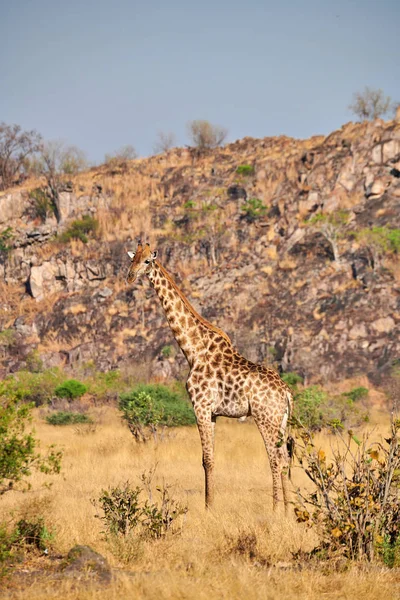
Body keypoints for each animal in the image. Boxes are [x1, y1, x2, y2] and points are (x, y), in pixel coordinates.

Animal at [126, 241, 294, 508]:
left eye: (147, 261)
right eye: (132, 260)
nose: (130, 277)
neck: (193, 350)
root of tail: (286, 392)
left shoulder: (201, 406)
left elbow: (206, 460)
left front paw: (208, 508)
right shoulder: (213, 413)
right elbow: (211, 458)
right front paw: (210, 504)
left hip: (265, 417)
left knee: (275, 458)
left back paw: (277, 509)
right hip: (281, 420)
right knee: (285, 458)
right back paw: (289, 509)